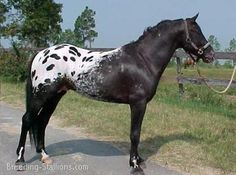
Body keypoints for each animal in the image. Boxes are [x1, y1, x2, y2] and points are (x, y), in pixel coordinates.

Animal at [14, 14, 214, 170]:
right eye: (195, 31)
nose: (210, 55)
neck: (143, 59)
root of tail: (41, 53)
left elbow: (137, 132)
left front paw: (138, 159)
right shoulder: (138, 103)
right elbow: (135, 133)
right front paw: (135, 164)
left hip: (55, 96)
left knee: (42, 121)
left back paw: (44, 156)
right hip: (42, 95)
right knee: (27, 119)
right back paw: (20, 159)